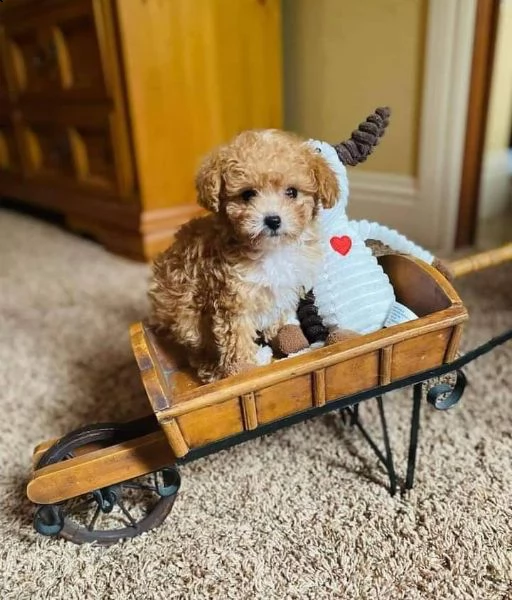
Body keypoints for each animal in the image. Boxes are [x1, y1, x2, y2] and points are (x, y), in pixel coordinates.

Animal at [149, 131, 340, 382]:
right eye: (248, 194)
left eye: (292, 192)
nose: (273, 220)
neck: (272, 249)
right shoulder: (233, 300)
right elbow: (237, 338)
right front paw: (244, 368)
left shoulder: (284, 288)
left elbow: (279, 315)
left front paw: (282, 336)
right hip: (186, 315)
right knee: (198, 348)